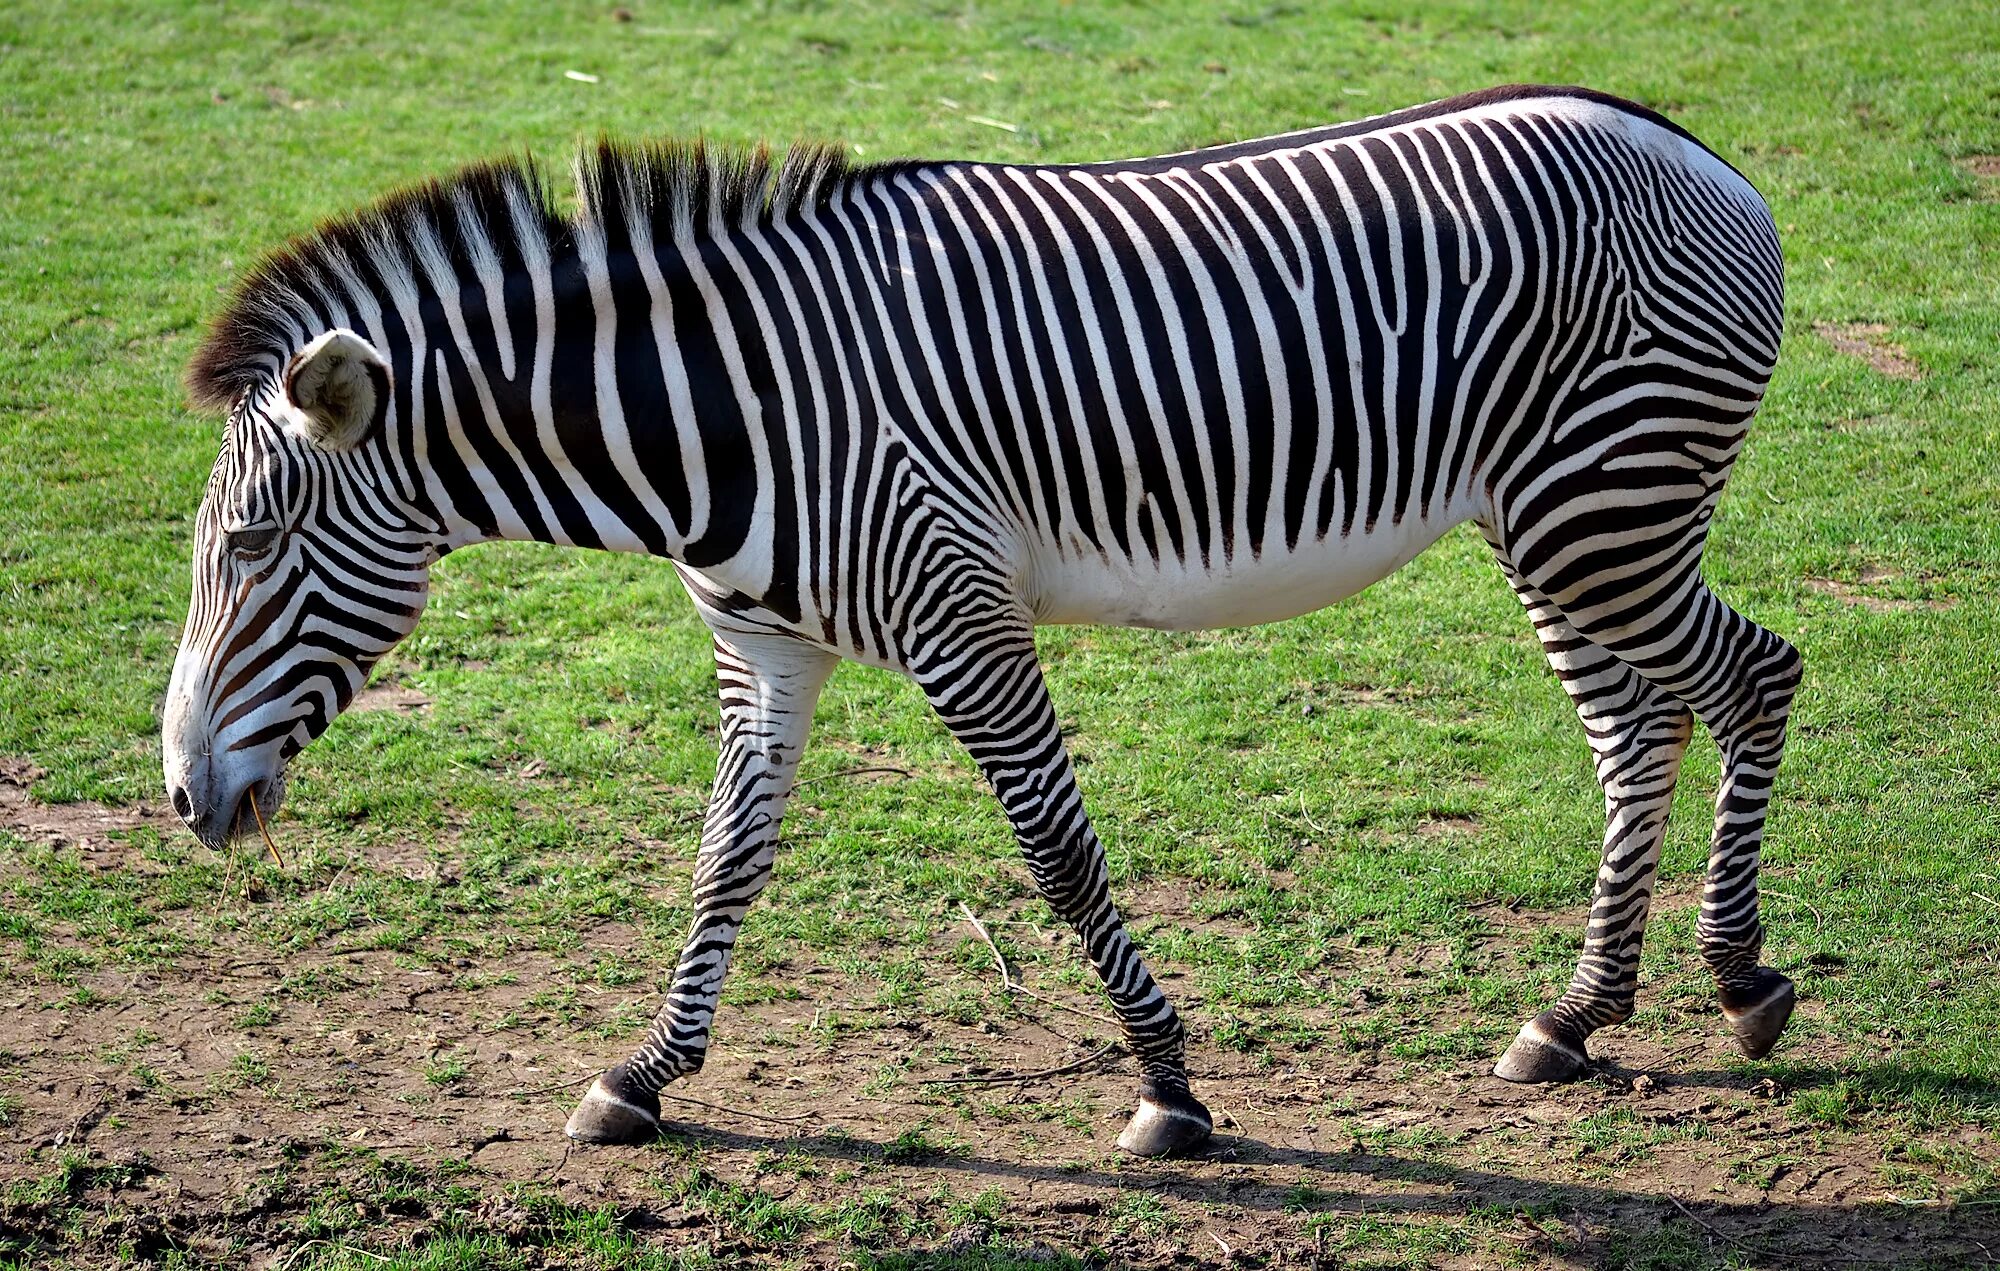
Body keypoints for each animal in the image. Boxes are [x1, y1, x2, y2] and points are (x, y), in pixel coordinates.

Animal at [164, 86, 1808, 1159]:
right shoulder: (761, 642)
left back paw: (1741, 983)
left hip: (1603, 504)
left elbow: (1060, 854)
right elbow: (723, 859)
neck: (721, 419)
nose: (180, 797)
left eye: (247, 544)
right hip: (1551, 521)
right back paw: (1576, 1016)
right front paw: (644, 1074)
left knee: (1753, 675)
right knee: (1635, 728)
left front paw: (1167, 1087)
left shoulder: (964, 623)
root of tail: (1701, 155)